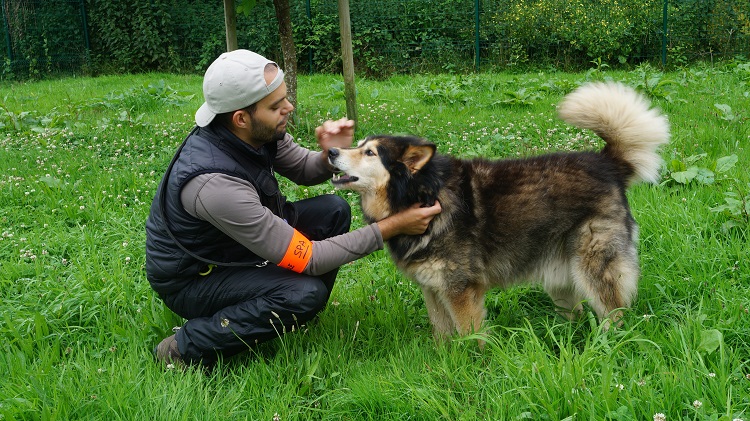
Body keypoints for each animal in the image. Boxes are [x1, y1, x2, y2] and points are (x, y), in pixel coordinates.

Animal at [328, 82, 668, 342]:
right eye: (357, 145)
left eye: (369, 153)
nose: (331, 151)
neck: (424, 194)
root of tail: (607, 163)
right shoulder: (432, 289)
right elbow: (442, 335)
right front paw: (444, 364)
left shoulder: (460, 290)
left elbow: (470, 335)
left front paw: (473, 366)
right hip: (560, 276)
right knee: (577, 312)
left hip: (595, 269)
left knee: (616, 316)